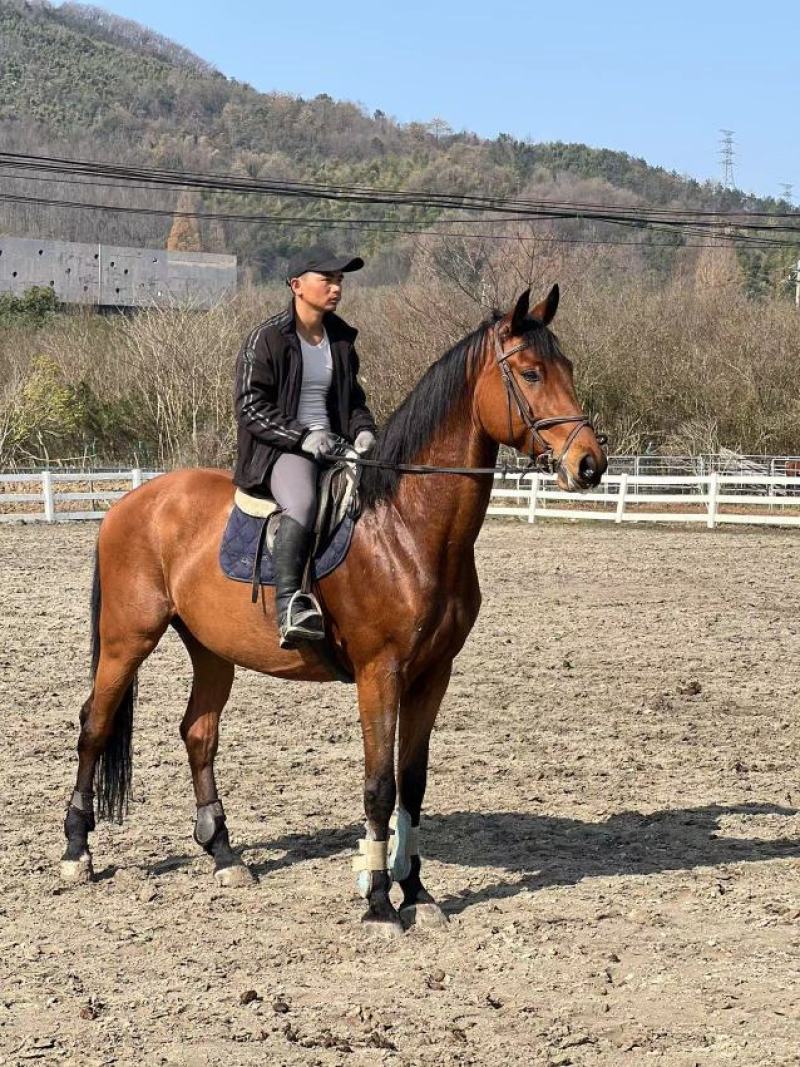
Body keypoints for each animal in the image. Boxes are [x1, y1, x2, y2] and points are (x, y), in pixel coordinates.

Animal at [61, 285, 607, 936]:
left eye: (566, 367)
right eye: (529, 372)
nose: (590, 464)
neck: (404, 525)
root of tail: (132, 501)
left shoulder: (433, 675)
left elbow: (412, 784)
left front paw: (417, 892)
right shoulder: (380, 673)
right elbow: (378, 785)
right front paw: (379, 904)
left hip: (211, 649)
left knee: (198, 733)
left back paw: (224, 856)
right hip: (128, 639)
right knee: (94, 726)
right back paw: (76, 853)